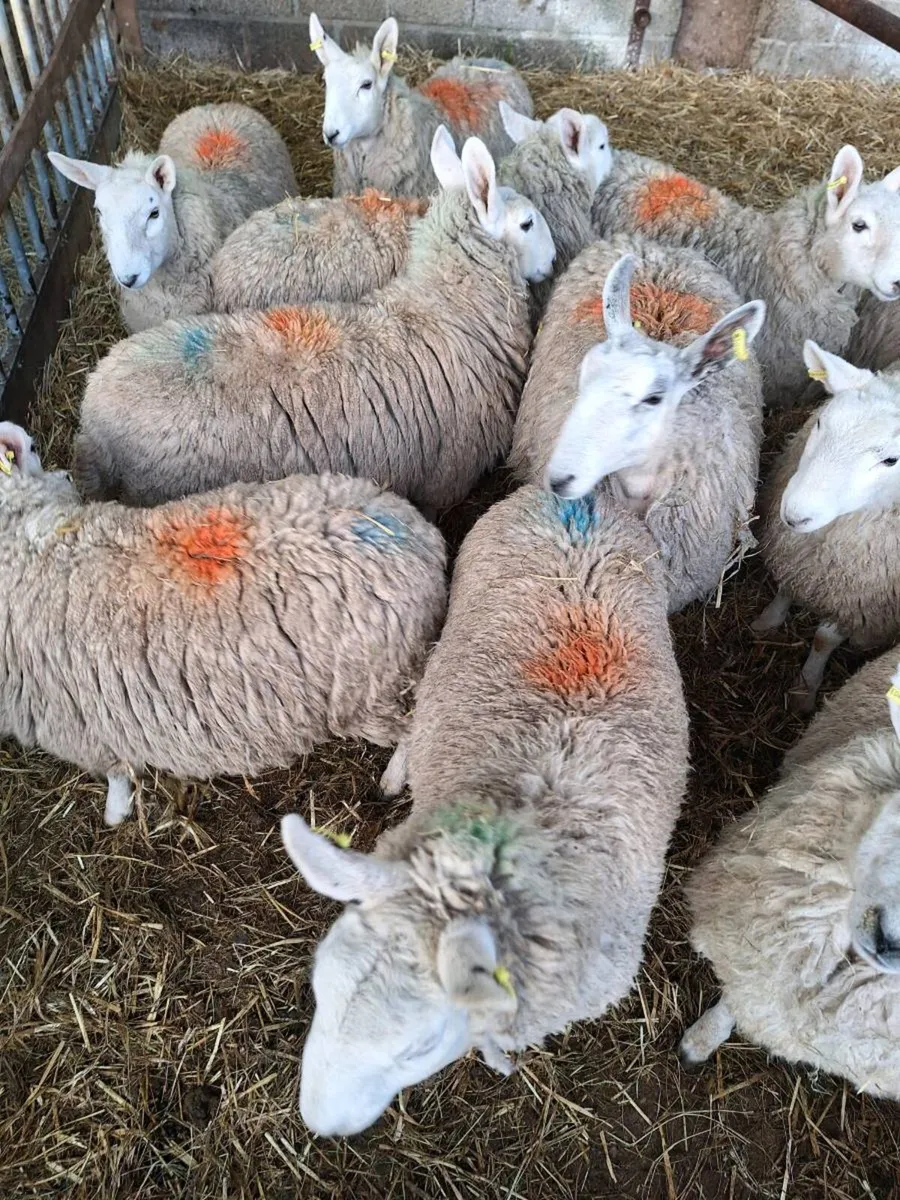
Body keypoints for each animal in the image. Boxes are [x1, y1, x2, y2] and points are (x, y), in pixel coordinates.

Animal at [0, 420, 447, 827]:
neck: (38, 542)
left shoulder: (80, 724)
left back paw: (391, 780)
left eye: (35, 447)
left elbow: (116, 774)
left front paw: (114, 813)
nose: (64, 475)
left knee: (416, 726)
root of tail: (419, 537)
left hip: (370, 690)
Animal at [755, 341, 900, 712]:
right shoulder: (799, 557)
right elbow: (786, 588)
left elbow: (823, 639)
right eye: (820, 421)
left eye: (891, 460)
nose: (795, 514)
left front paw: (805, 689)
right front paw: (767, 621)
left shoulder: (862, 599)